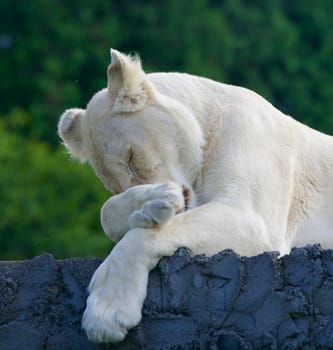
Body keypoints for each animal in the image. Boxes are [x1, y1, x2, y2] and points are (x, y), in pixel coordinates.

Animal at [57, 49, 332, 342]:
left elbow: (142, 237)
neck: (207, 120)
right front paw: (150, 204)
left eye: (131, 159)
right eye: (113, 184)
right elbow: (107, 212)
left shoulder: (255, 213)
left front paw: (106, 315)